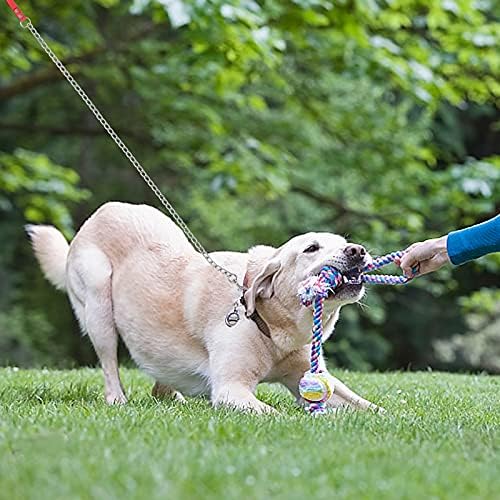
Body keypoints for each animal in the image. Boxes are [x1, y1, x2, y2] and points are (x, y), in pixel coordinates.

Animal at [28, 201, 382, 412]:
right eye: (311, 248)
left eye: (343, 242)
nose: (357, 251)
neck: (272, 326)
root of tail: (101, 212)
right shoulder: (230, 388)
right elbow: (276, 414)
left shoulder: (313, 378)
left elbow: (369, 407)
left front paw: (389, 420)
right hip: (99, 305)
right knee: (109, 365)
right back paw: (118, 400)